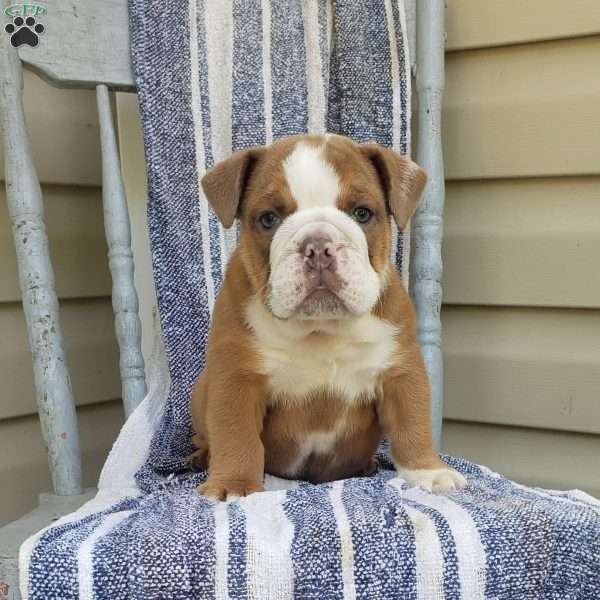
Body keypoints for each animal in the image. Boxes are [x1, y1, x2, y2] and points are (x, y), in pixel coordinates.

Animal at [190, 134, 466, 500]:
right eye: (268, 219)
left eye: (362, 213)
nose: (318, 246)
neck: (320, 329)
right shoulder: (235, 377)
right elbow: (235, 433)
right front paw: (234, 485)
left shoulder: (401, 372)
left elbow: (413, 424)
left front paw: (428, 471)